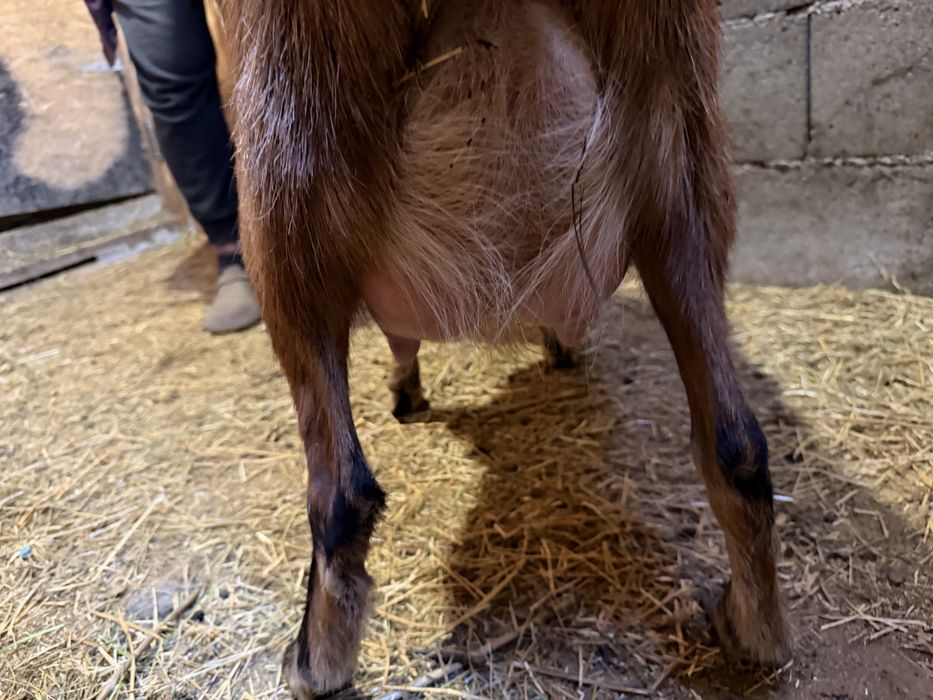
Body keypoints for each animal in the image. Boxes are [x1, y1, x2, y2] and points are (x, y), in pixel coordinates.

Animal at [217, 1, 791, 696]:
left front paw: (407, 394)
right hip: (681, 154)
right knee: (736, 445)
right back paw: (754, 628)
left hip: (280, 165)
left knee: (340, 492)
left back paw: (311, 662)